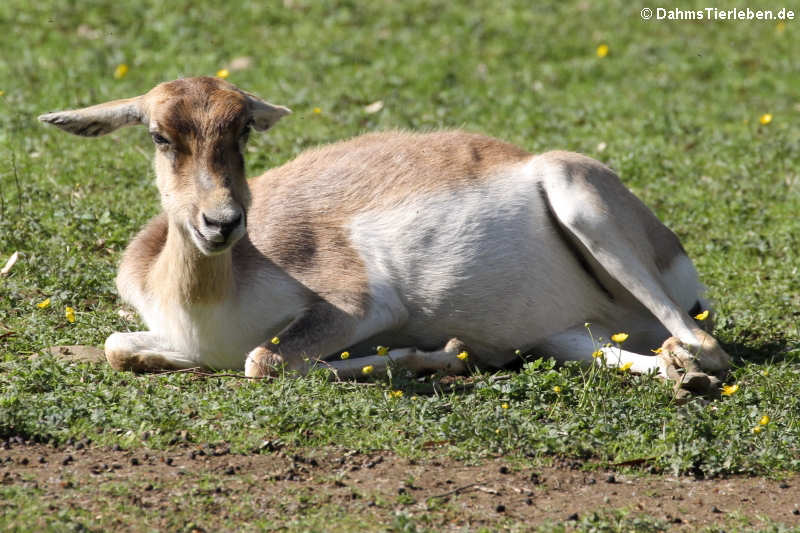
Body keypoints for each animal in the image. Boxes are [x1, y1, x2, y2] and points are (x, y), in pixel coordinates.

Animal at [40, 77, 736, 392]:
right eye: (160, 135)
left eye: (243, 131)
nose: (223, 222)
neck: (208, 298)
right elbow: (118, 347)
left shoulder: (362, 306)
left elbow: (263, 359)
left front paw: (440, 355)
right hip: (565, 335)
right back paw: (674, 375)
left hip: (577, 196)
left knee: (709, 347)